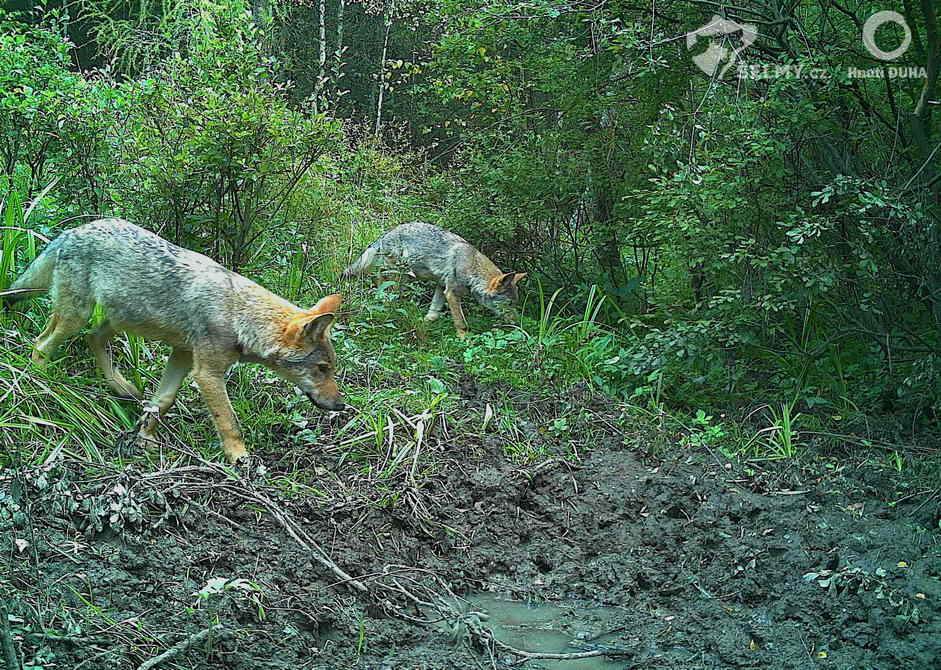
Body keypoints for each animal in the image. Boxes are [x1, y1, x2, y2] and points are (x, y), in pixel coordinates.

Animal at [0, 218, 346, 464]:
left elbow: (162, 402)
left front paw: (146, 441)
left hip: (115, 320)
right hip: (77, 317)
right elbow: (229, 422)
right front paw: (241, 460)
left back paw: (120, 386)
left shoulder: (182, 354)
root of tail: (71, 230)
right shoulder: (207, 374)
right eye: (322, 368)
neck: (238, 314)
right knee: (41, 345)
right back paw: (43, 385)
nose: (341, 406)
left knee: (92, 339)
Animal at [342, 223, 524, 338]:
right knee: (381, 280)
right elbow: (461, 322)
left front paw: (424, 323)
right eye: (509, 304)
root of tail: (388, 233)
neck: (472, 266)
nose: (517, 323)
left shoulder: (442, 288)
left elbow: (434, 312)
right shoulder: (451, 293)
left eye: (515, 304)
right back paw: (384, 301)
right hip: (398, 274)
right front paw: (465, 339)